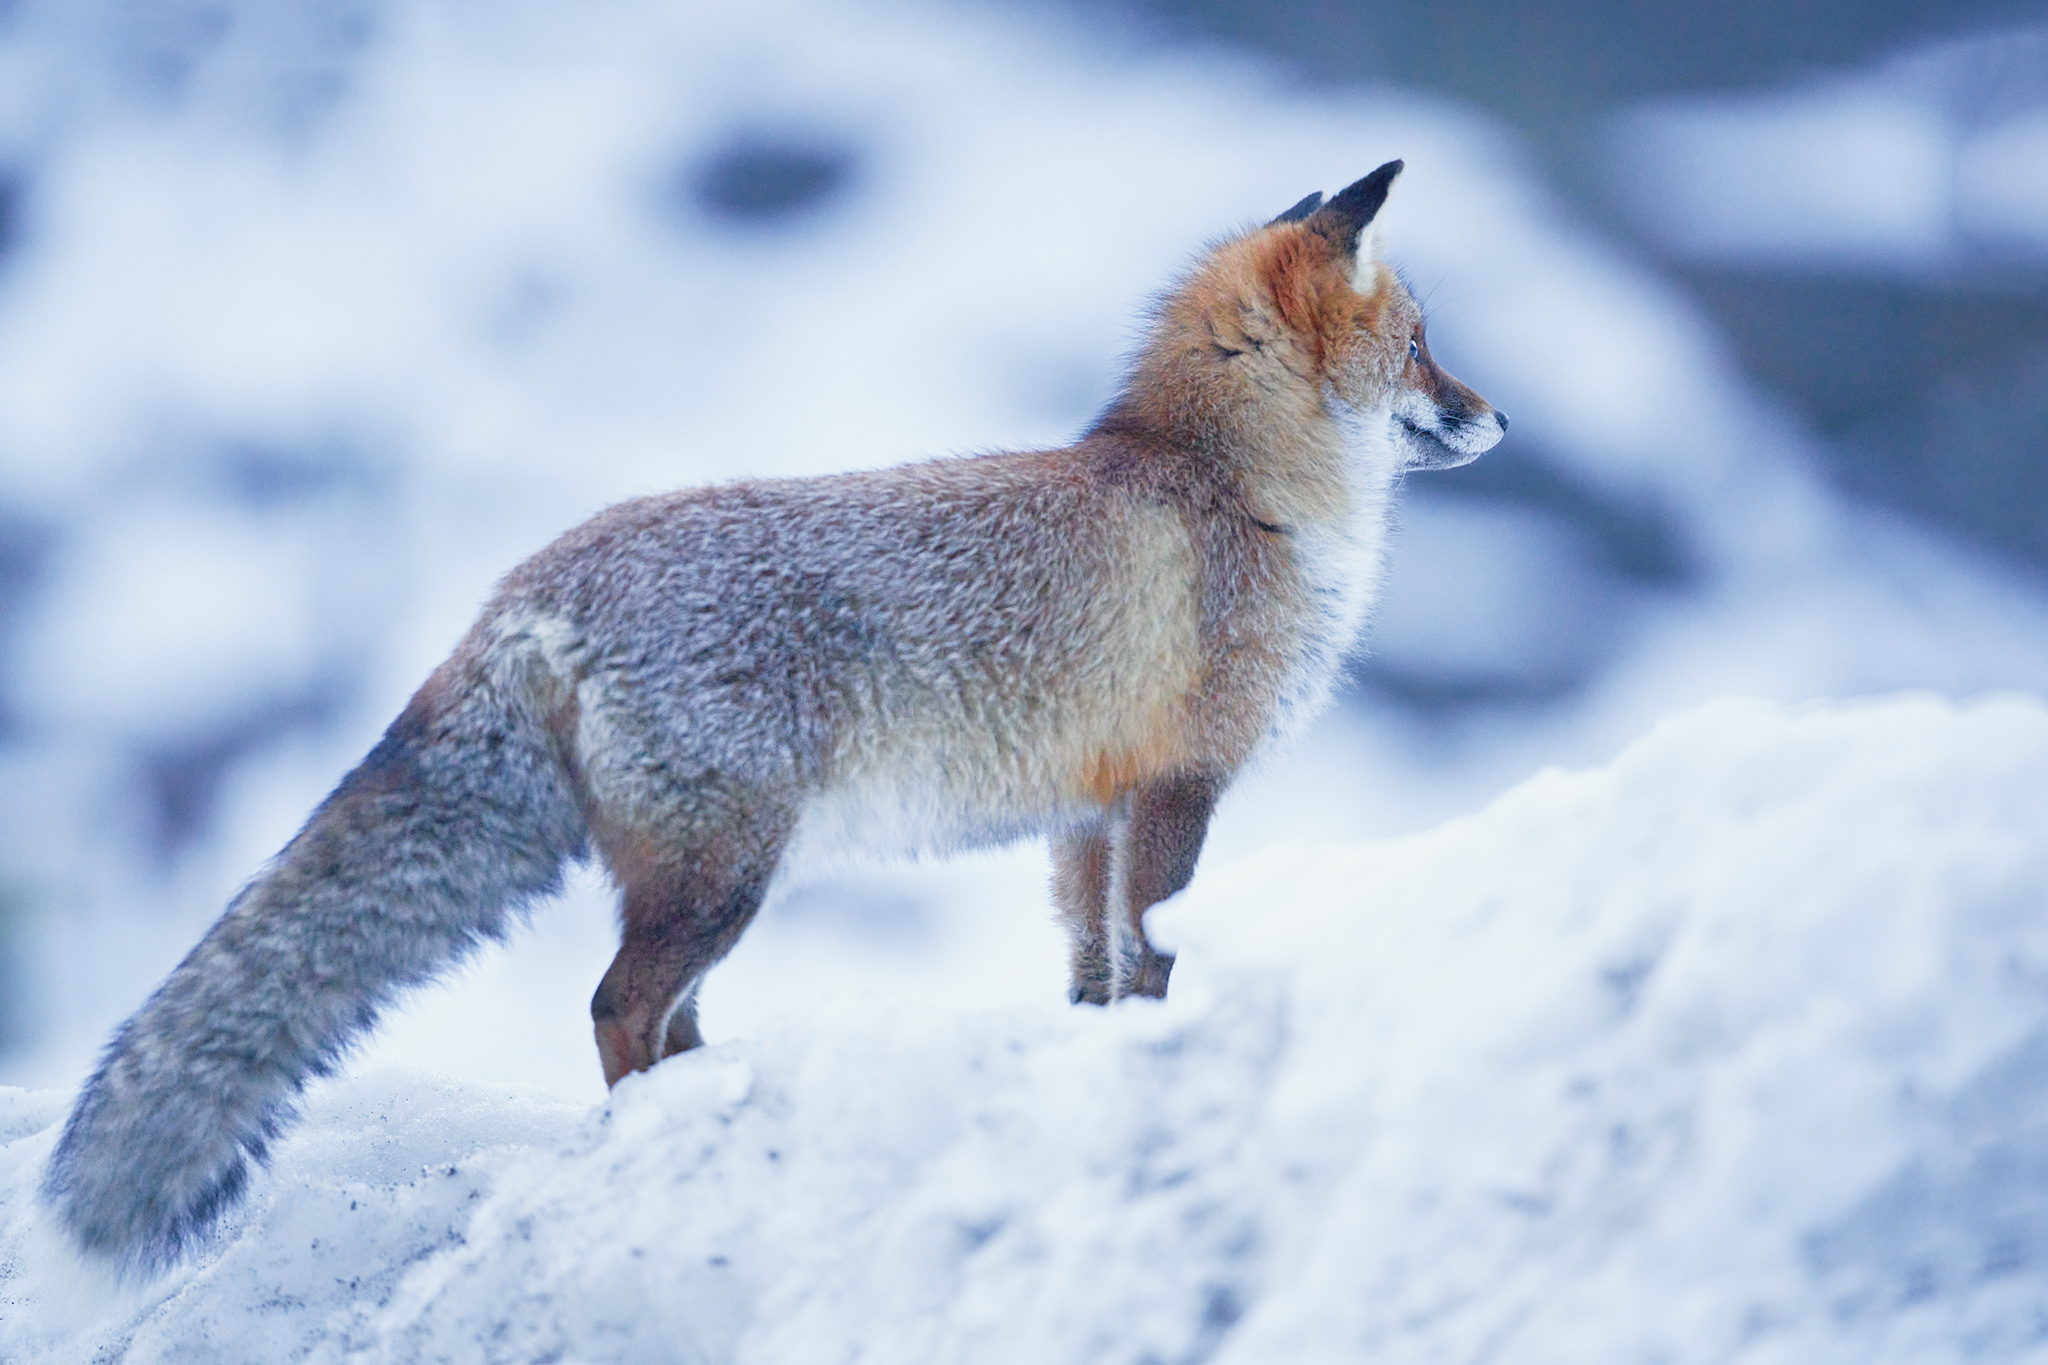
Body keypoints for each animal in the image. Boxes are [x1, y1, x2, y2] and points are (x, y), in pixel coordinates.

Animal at [43, 160, 1505, 1269]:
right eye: (1423, 347)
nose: (1496, 418)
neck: (1228, 489)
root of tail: (530, 581)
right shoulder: (1177, 785)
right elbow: (1151, 953)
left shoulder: (1086, 809)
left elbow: (1090, 968)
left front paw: (1092, 1059)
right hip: (725, 872)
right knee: (615, 1008)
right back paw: (658, 1142)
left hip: (708, 878)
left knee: (665, 1016)